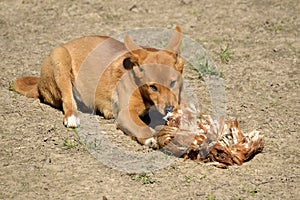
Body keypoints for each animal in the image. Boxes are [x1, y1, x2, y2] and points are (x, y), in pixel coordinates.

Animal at [14, 25, 184, 148]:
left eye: (173, 83)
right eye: (153, 87)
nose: (169, 109)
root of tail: (39, 83)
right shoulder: (125, 114)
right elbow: (141, 126)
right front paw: (151, 138)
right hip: (60, 59)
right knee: (67, 99)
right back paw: (72, 116)